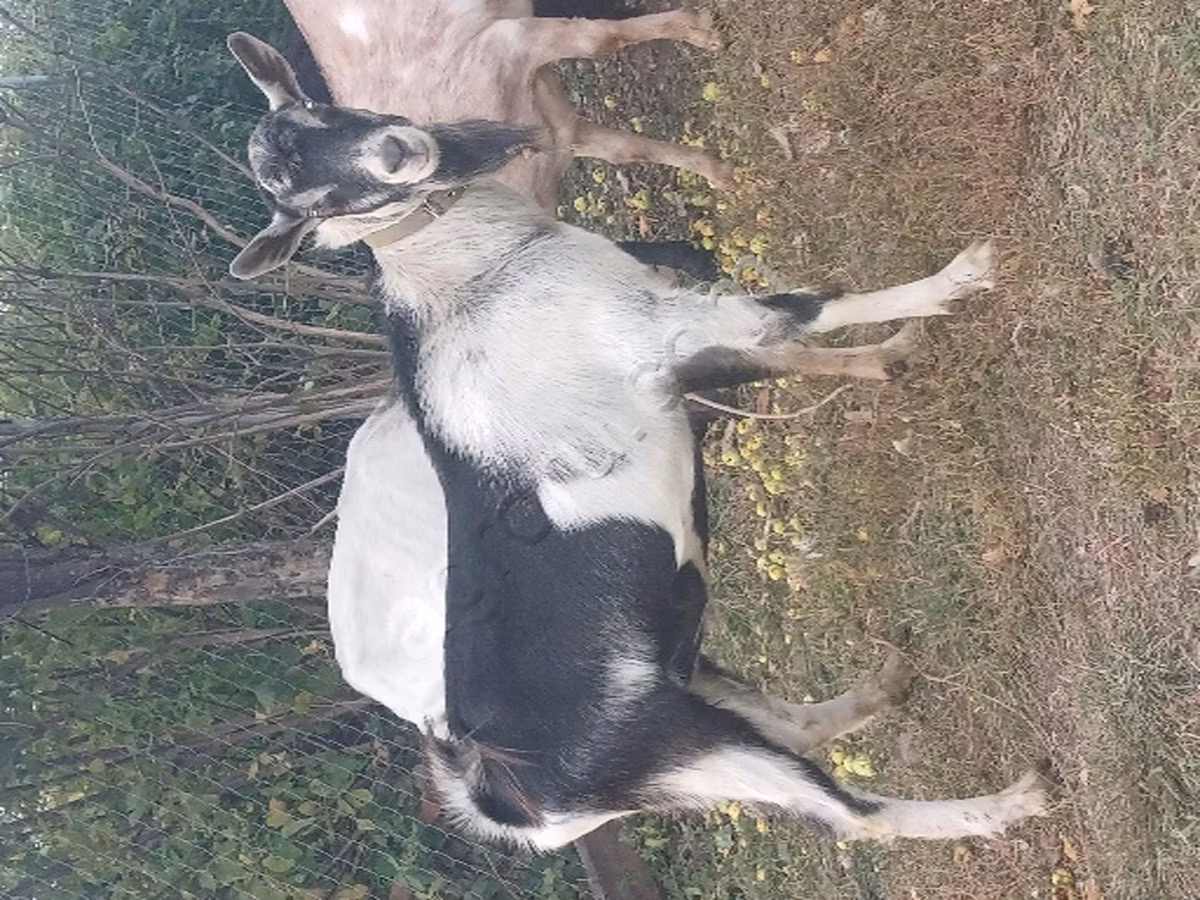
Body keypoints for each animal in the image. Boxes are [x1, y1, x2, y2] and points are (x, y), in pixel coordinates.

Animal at [228, 31, 1050, 850]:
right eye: (302, 195)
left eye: (320, 112)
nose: (399, 151)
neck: (472, 273)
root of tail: (500, 794)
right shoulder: (666, 327)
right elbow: (812, 308)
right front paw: (954, 281)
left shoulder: (677, 351)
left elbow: (786, 351)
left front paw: (889, 355)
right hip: (702, 749)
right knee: (857, 816)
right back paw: (1014, 801)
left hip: (688, 694)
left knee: (795, 727)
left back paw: (889, 685)